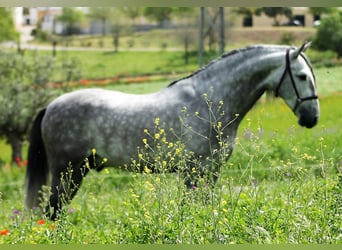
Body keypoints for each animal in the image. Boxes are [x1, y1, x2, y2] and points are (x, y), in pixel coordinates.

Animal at [25, 43, 320, 219]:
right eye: (302, 76)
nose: (312, 118)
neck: (209, 100)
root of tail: (50, 106)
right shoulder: (194, 171)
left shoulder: (211, 171)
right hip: (67, 172)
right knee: (53, 211)